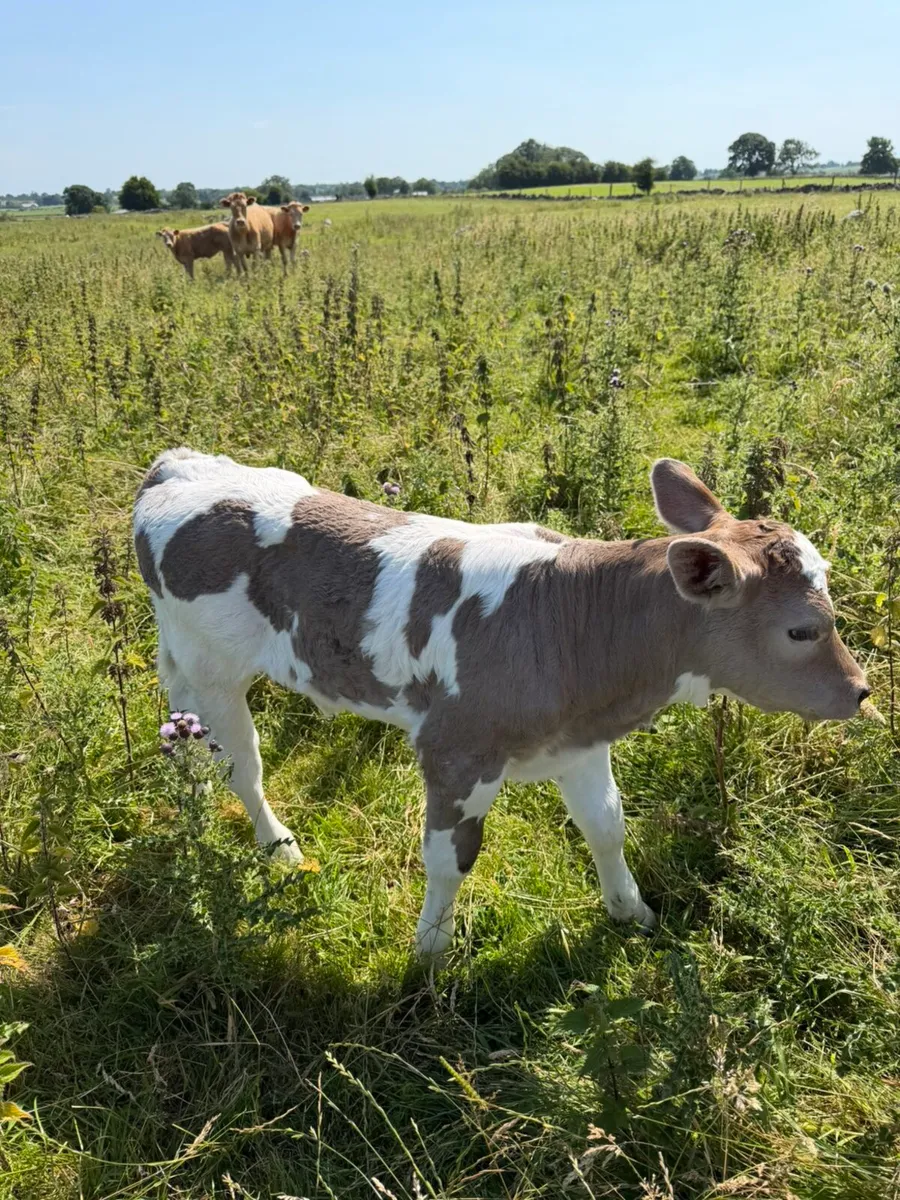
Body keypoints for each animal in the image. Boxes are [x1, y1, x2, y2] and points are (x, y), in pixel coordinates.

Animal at [133, 451, 870, 959]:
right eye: (802, 630)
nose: (862, 691)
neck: (571, 616)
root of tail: (178, 464)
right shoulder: (455, 751)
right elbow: (448, 858)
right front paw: (429, 953)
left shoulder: (578, 742)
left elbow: (606, 826)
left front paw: (631, 913)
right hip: (215, 668)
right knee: (243, 768)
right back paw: (278, 846)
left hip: (186, 665)